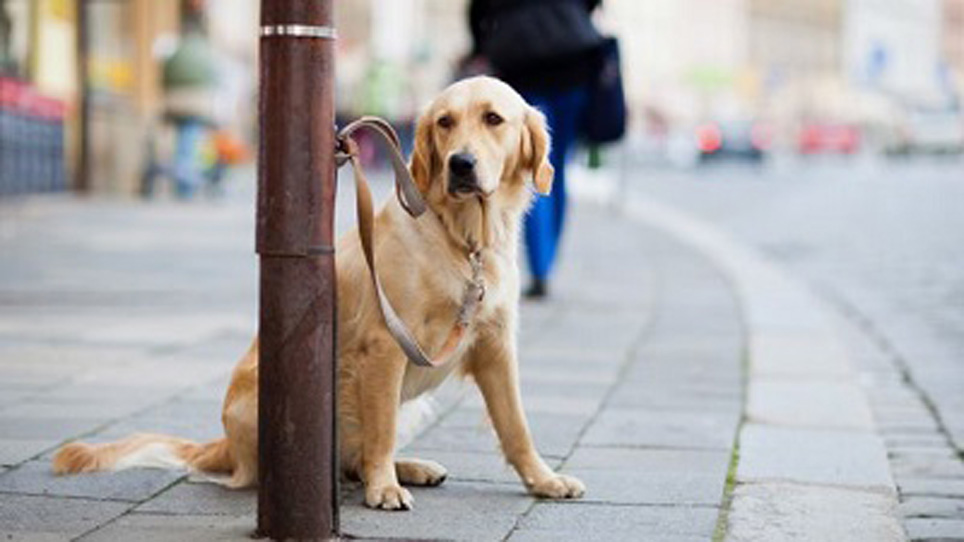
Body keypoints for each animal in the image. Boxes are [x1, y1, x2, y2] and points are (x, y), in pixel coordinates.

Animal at [54, 76, 588, 510]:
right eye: (445, 122)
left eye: (493, 119)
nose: (460, 164)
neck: (464, 239)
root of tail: (222, 443)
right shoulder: (386, 346)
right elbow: (381, 433)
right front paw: (384, 488)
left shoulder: (495, 345)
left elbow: (516, 425)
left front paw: (544, 479)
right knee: (333, 459)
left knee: (354, 457)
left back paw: (411, 467)